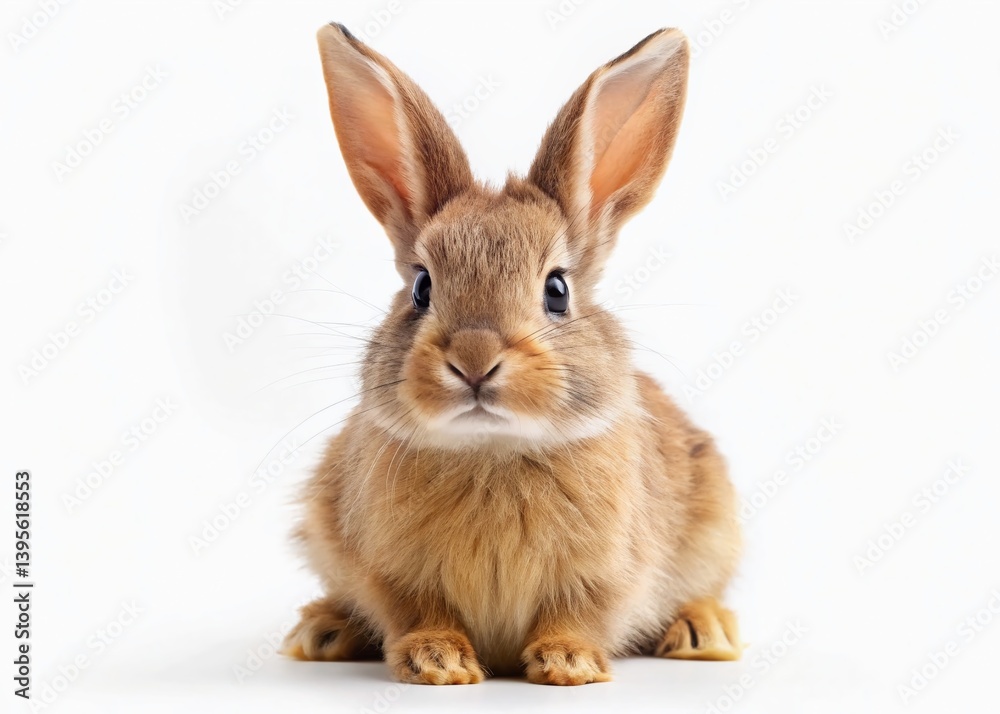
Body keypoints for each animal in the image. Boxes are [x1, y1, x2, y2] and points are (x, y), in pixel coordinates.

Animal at [282, 22, 742, 685]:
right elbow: (416, 610)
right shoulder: (390, 570)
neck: (492, 450)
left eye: (557, 290)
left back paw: (702, 631)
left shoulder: (607, 572)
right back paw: (322, 630)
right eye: (421, 287)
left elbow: (579, 612)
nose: (474, 360)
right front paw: (439, 661)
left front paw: (569, 663)